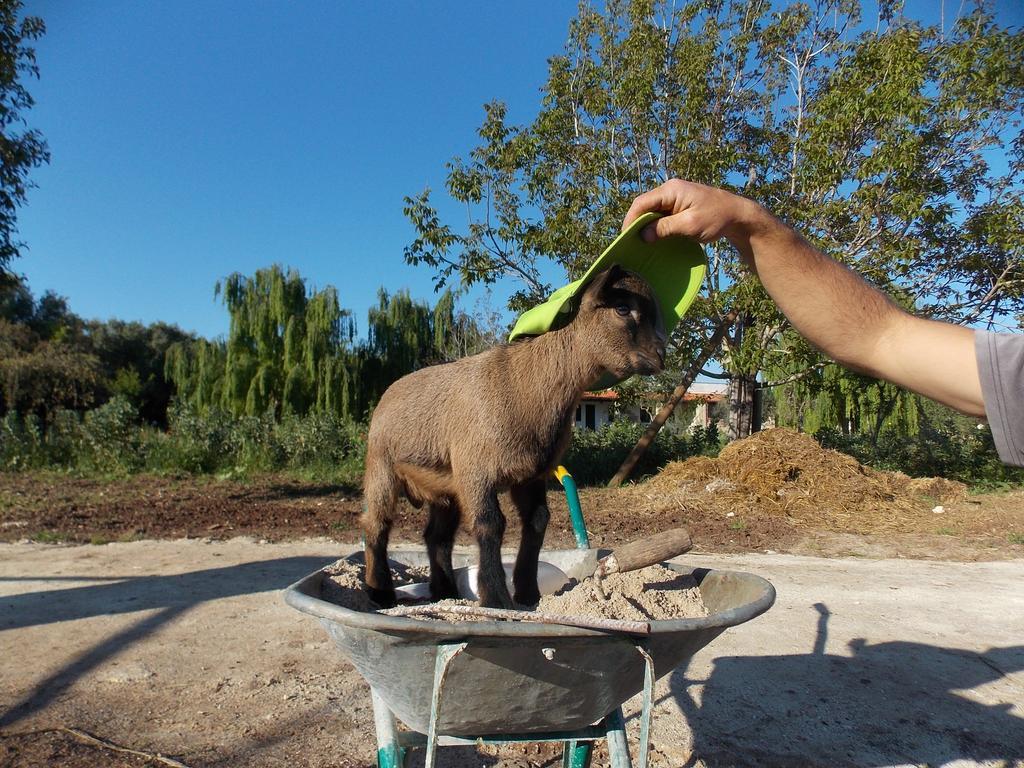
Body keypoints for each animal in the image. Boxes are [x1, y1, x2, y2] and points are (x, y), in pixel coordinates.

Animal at [362, 268, 671, 610]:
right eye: (622, 308)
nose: (660, 356)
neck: (526, 384)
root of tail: (389, 393)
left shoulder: (530, 475)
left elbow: (537, 522)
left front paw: (527, 594)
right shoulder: (475, 471)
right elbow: (490, 525)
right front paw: (496, 598)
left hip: (443, 486)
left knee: (436, 536)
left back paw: (445, 591)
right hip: (382, 467)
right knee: (376, 524)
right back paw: (381, 593)